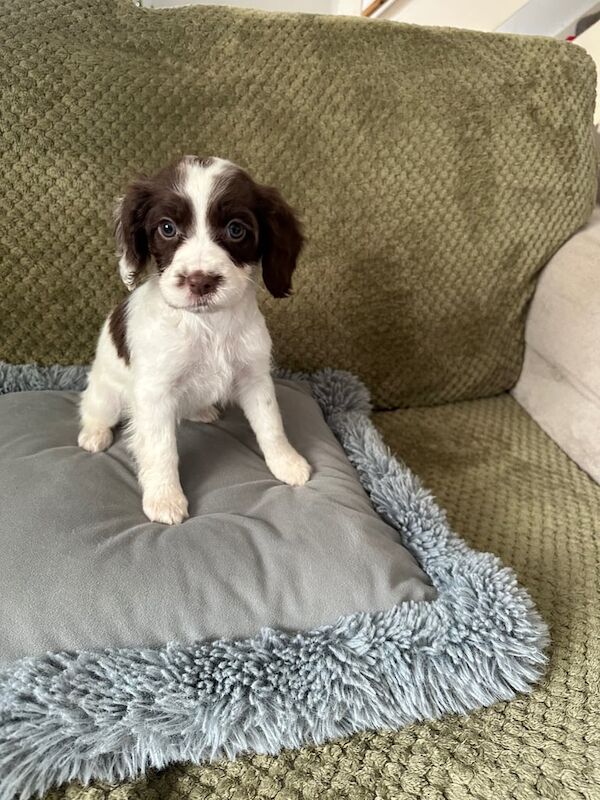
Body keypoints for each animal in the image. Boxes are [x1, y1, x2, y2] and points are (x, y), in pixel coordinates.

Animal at [78, 156, 310, 524]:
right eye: (167, 228)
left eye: (236, 229)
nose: (200, 281)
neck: (207, 325)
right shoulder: (155, 394)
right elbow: (161, 449)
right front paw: (165, 498)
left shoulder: (255, 377)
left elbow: (271, 424)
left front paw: (286, 462)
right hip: (107, 392)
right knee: (93, 408)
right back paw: (94, 433)